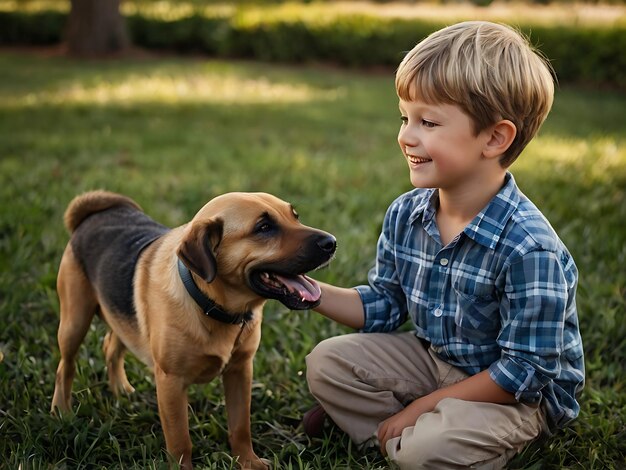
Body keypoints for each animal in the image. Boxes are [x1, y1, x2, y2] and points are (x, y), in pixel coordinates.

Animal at [52, 190, 336, 466]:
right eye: (264, 227)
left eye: (295, 216)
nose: (331, 242)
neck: (213, 306)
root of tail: (93, 215)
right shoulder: (171, 382)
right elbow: (180, 442)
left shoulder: (240, 371)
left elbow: (240, 427)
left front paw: (248, 461)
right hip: (74, 322)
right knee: (65, 367)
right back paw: (62, 411)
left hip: (119, 315)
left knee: (111, 345)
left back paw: (121, 390)